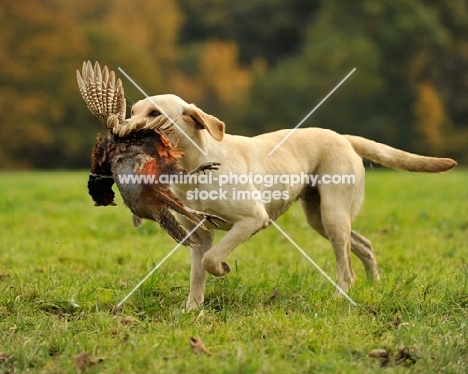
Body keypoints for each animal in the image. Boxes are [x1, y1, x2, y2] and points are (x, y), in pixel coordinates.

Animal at [126, 95, 456, 312]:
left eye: (155, 113)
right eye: (132, 111)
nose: (122, 127)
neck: (197, 166)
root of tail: (344, 137)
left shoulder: (252, 219)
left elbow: (210, 260)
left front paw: (221, 268)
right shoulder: (199, 233)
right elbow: (197, 273)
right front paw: (193, 309)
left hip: (333, 215)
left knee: (346, 268)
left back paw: (341, 298)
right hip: (319, 219)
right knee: (364, 245)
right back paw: (375, 285)